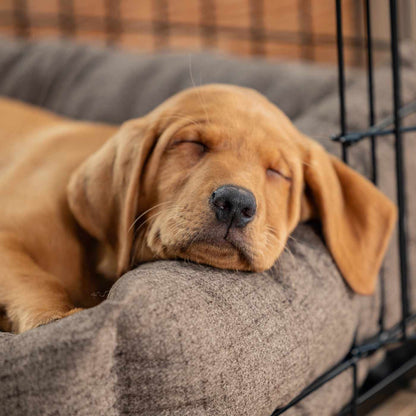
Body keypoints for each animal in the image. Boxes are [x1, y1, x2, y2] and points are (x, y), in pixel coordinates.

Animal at [0, 84, 396, 332]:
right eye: (191, 143)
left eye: (278, 172)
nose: (235, 203)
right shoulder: (8, 233)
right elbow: (37, 279)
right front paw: (54, 319)